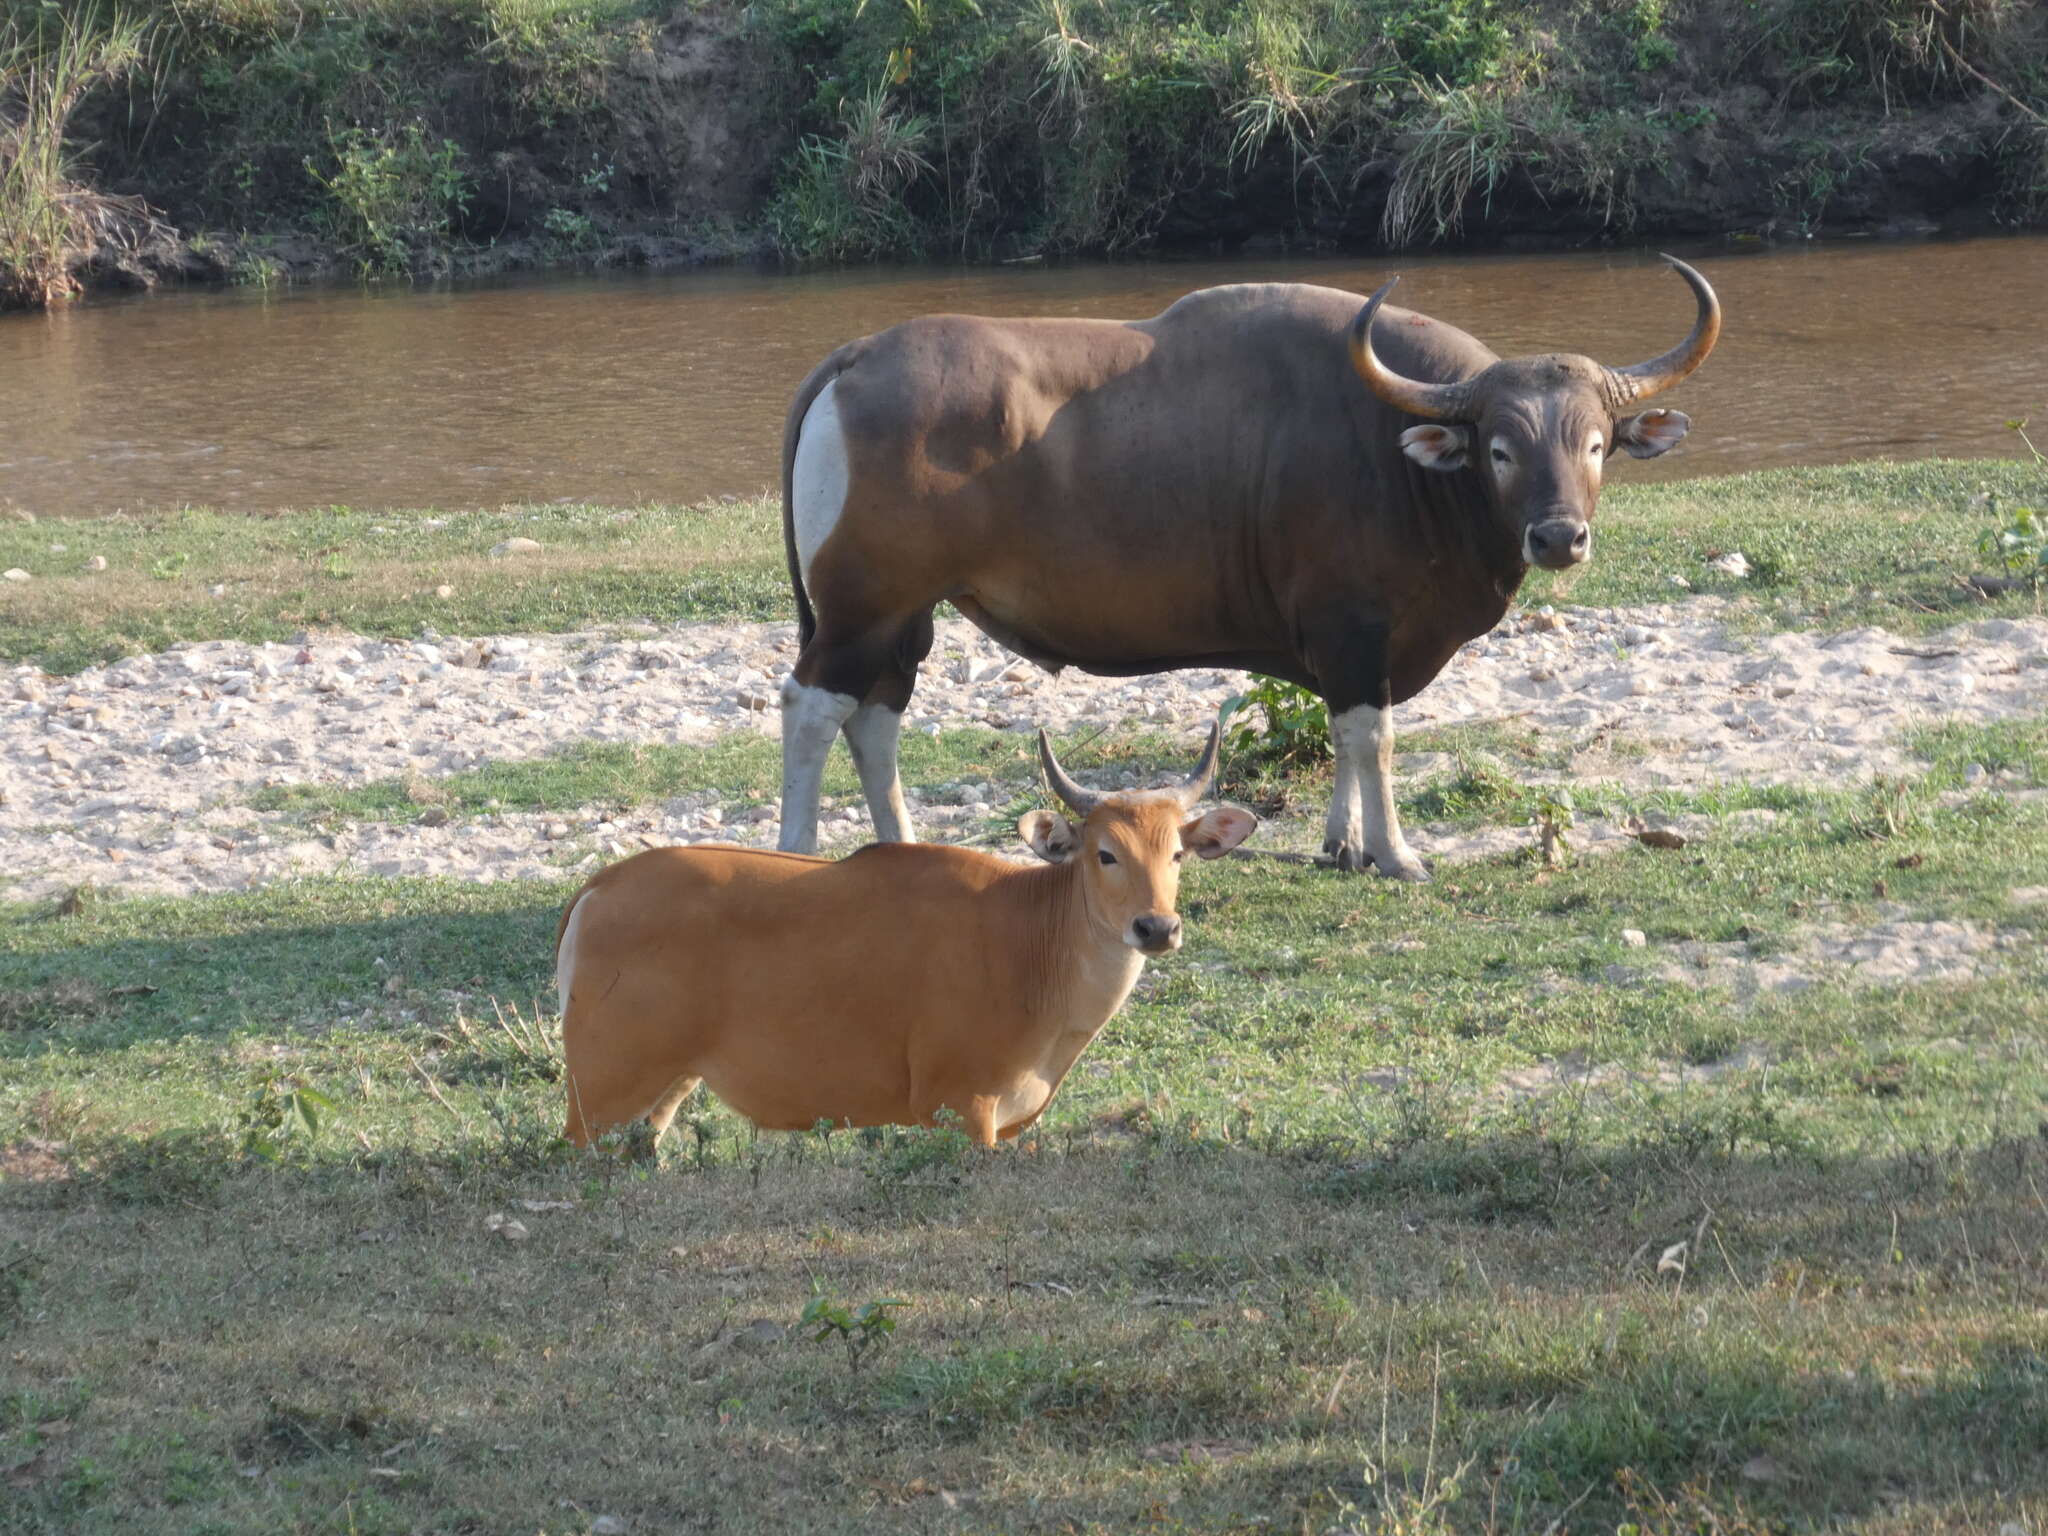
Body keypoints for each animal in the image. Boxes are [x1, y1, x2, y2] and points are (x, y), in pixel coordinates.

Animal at [565, 729, 1261, 1146]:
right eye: (1105, 853)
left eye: (1176, 853)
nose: (1156, 926)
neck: (1030, 941)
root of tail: (599, 887)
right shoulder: (959, 1109)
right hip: (597, 1100)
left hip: (661, 1092)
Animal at [774, 253, 1720, 876]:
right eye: (1499, 449)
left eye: (1594, 443)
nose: (1558, 537)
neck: (1402, 458)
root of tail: (855, 358)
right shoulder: (1352, 625)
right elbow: (1372, 735)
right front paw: (1397, 853)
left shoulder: (1343, 643)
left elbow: (1344, 736)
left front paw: (1343, 843)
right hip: (861, 611)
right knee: (812, 710)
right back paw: (797, 853)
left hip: (904, 617)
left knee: (878, 718)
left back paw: (901, 853)